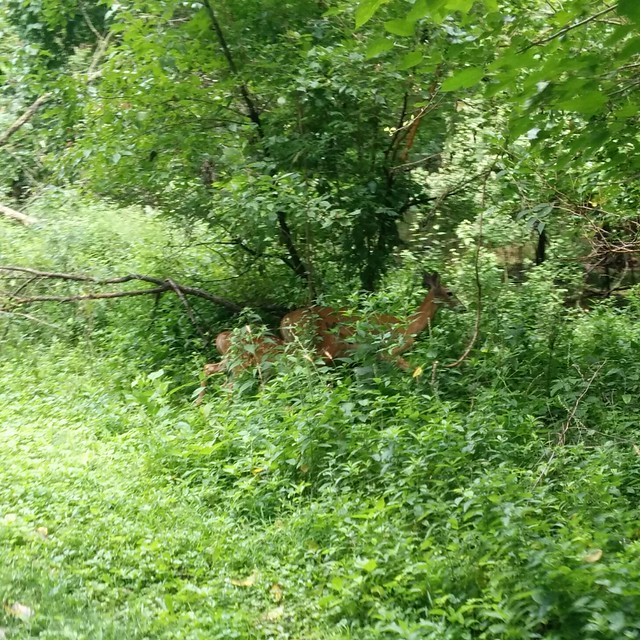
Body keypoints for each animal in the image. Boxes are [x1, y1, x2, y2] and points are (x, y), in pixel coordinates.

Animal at [279, 272, 461, 371]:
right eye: (450, 292)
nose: (463, 307)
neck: (409, 325)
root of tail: (284, 322)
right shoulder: (389, 349)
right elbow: (412, 369)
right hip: (324, 345)